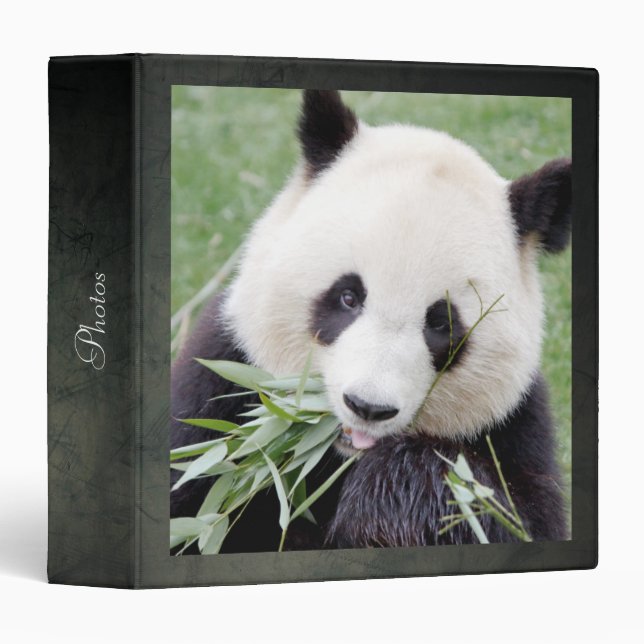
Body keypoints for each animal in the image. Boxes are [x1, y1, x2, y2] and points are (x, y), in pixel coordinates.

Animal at [171, 89, 570, 551]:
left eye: (441, 325)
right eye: (348, 297)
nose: (368, 407)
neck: (339, 457)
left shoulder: (513, 424)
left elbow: (506, 516)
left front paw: (392, 497)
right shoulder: (220, 383)